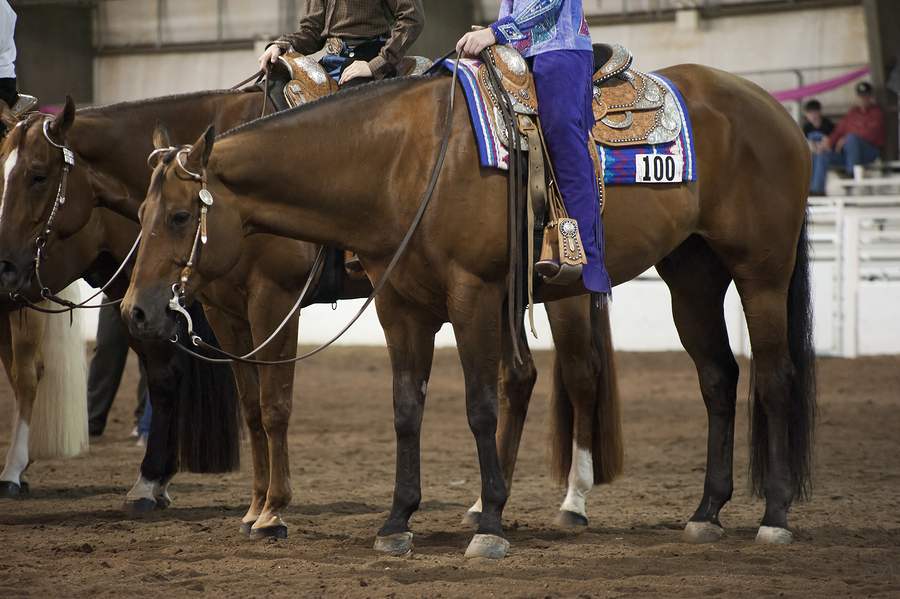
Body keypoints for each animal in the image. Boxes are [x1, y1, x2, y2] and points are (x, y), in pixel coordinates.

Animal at [123, 62, 820, 556]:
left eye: (181, 216)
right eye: (142, 213)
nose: (135, 311)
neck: (401, 161)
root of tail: (772, 112)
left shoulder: (470, 295)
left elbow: (479, 405)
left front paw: (489, 528)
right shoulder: (400, 307)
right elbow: (406, 409)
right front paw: (398, 521)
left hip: (758, 273)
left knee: (772, 379)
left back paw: (772, 516)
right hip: (692, 276)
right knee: (718, 379)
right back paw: (706, 513)